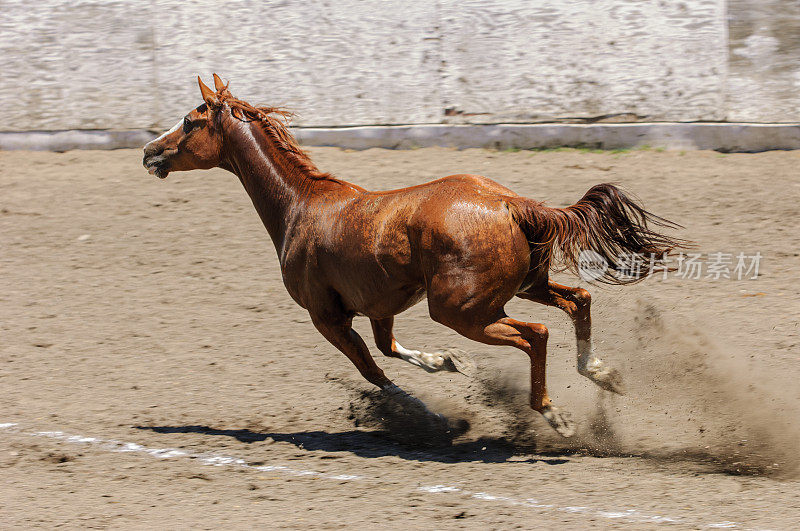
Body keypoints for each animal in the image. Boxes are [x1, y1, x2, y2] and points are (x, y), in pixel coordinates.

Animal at [142, 77, 680, 438]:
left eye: (189, 121)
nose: (149, 152)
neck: (301, 206)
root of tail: (509, 203)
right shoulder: (377, 308)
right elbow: (389, 350)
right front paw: (447, 363)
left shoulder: (326, 317)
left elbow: (373, 371)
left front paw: (436, 416)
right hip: (527, 286)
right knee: (578, 300)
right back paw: (602, 374)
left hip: (463, 310)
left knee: (537, 334)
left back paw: (554, 414)